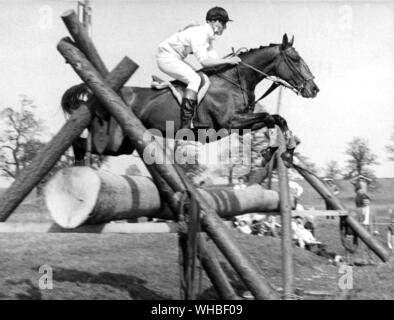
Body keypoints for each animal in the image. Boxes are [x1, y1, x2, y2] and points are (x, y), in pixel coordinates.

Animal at [62, 33, 320, 166]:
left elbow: (276, 118)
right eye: (295, 59)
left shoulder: (240, 125)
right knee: (84, 145)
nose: (314, 89)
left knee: (85, 146)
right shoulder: (230, 122)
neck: (235, 81)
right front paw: (276, 151)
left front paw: (284, 152)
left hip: (126, 143)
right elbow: (270, 117)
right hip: (115, 140)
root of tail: (101, 93)